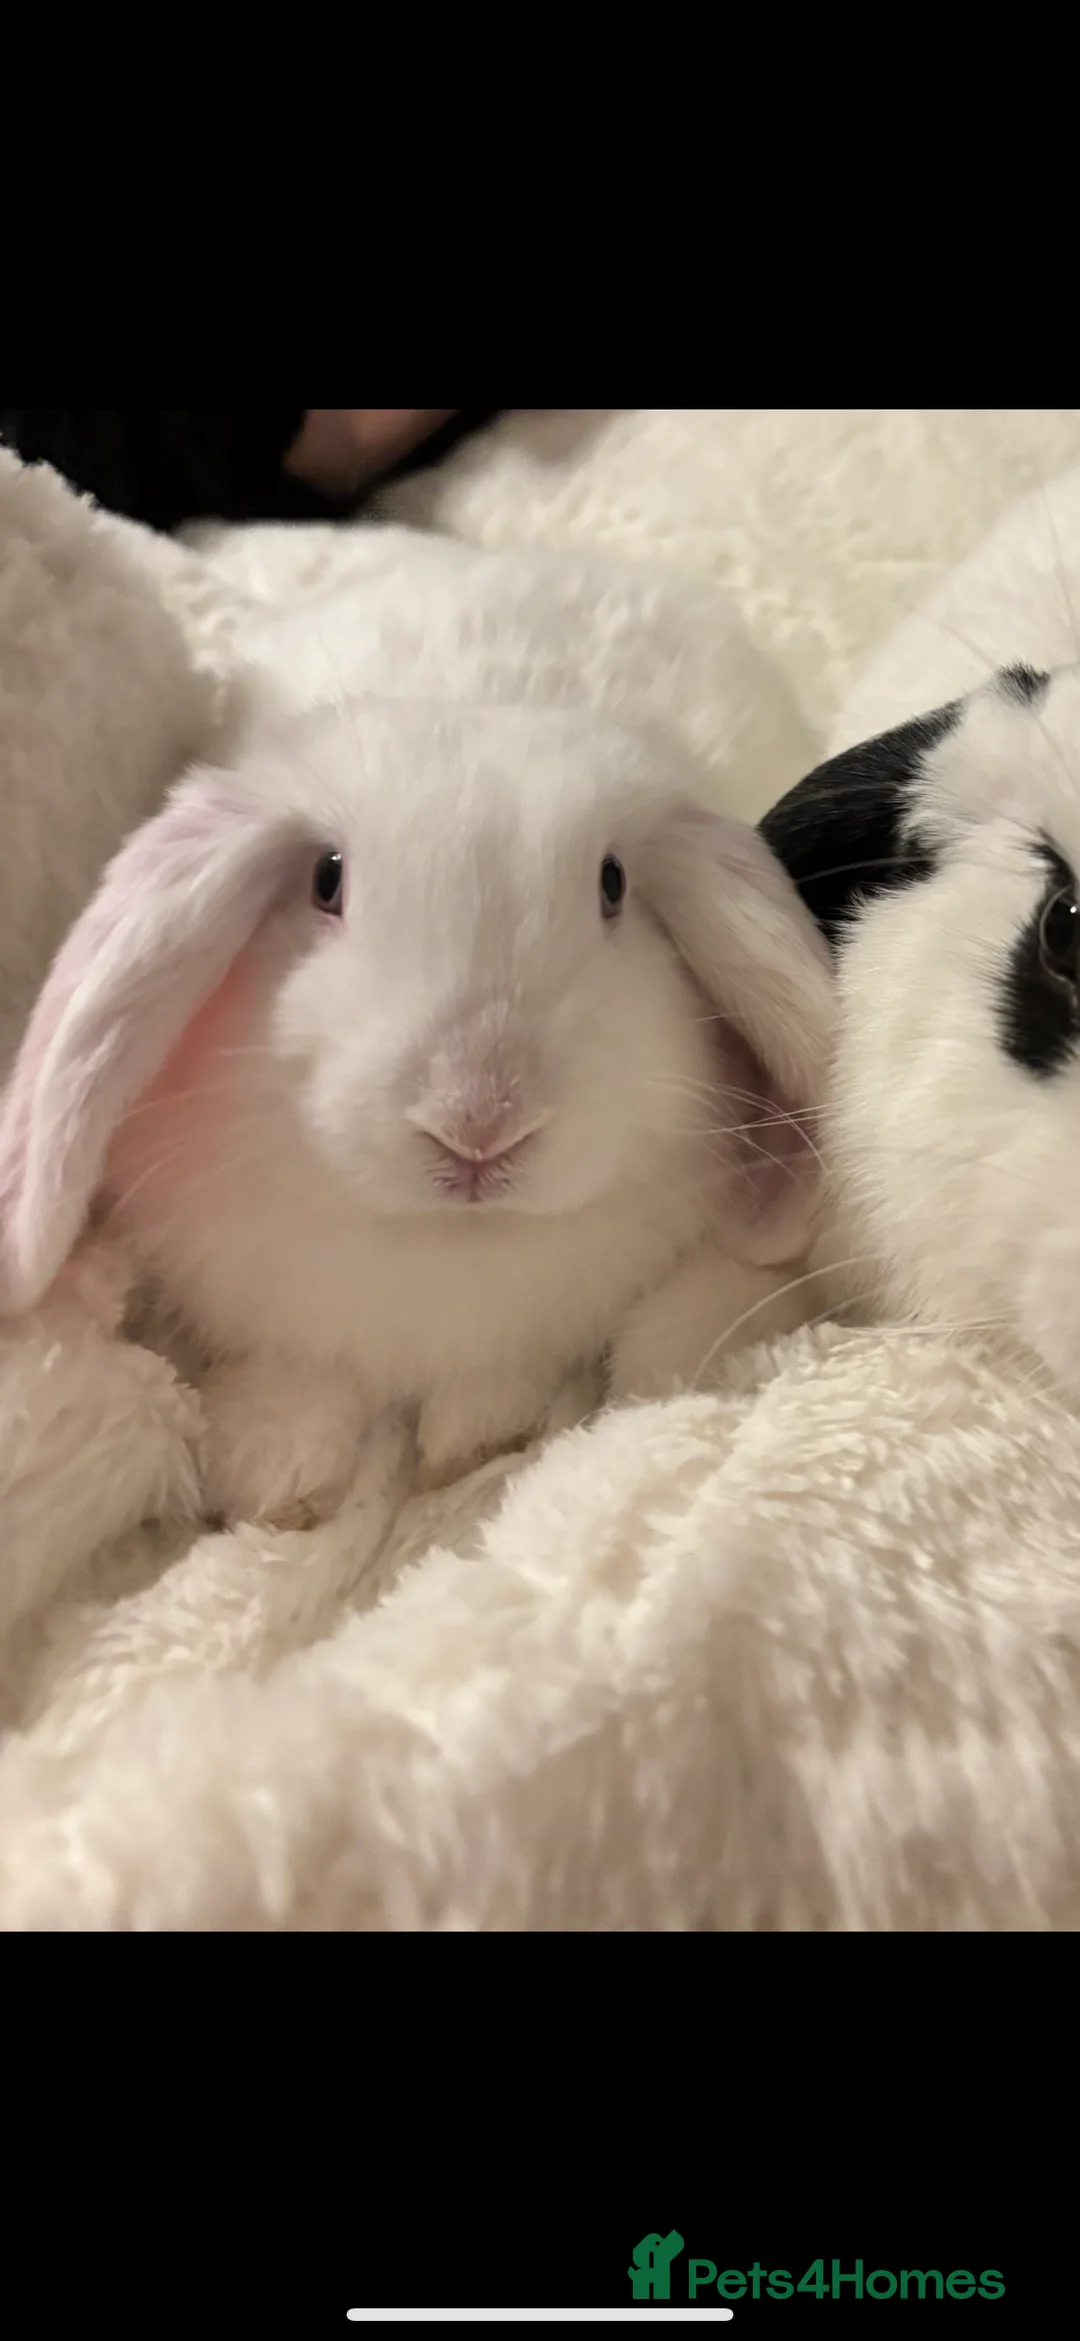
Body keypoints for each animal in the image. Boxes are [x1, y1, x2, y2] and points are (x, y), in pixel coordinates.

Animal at [0, 694, 834, 1528]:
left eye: (613, 882)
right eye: (326, 879)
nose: (480, 1122)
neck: (444, 1243)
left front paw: (474, 1434)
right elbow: (298, 1378)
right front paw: (276, 1477)